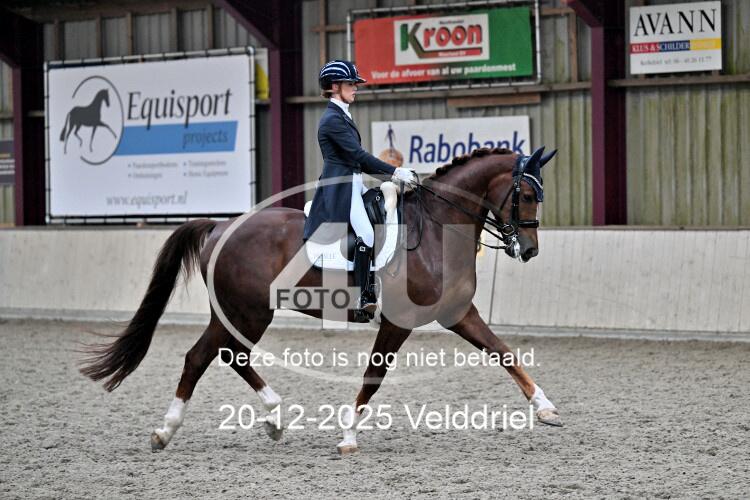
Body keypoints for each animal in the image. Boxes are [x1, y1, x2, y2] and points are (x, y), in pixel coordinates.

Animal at [80, 146, 561, 454]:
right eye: (524, 195)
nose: (530, 250)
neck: (438, 228)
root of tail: (220, 226)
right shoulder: (399, 322)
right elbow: (374, 376)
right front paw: (347, 437)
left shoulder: (458, 314)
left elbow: (503, 352)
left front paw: (547, 409)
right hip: (246, 311)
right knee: (202, 357)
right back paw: (166, 432)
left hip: (243, 313)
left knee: (230, 355)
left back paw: (274, 419)